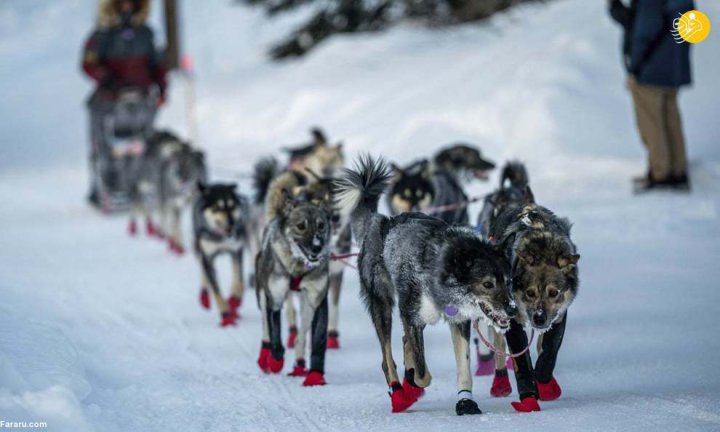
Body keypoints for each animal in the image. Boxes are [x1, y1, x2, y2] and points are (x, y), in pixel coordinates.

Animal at [191, 182, 250, 328]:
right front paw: (225, 313)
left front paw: (234, 300)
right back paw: (204, 297)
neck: (221, 237)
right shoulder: (208, 257)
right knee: (204, 271)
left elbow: (239, 280)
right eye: (217, 208)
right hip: (199, 249)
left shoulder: (236, 251)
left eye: (232, 206)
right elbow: (215, 288)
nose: (232, 223)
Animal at [253, 191, 332, 386]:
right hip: (262, 295)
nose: (317, 247)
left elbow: (318, 339)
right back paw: (265, 357)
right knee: (266, 327)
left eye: (321, 226)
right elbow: (274, 330)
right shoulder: (274, 298)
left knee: (300, 336)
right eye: (301, 226)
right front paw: (276, 360)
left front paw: (316, 374)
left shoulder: (317, 300)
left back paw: (299, 365)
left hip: (306, 308)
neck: (298, 266)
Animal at [334, 155, 516, 416]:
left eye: (508, 281)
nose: (512, 309)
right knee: (387, 356)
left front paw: (465, 401)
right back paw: (399, 391)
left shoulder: (459, 320)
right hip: (382, 306)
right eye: (487, 284)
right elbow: (422, 374)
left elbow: (463, 366)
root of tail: (382, 222)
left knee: (404, 342)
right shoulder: (411, 315)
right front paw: (412, 384)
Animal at [484, 185, 580, 412]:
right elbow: (520, 360)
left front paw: (544, 381)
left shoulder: (558, 316)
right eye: (529, 292)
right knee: (499, 348)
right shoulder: (512, 320)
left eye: (554, 292)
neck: (542, 246)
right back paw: (500, 382)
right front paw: (528, 396)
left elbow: (549, 351)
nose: (538, 318)